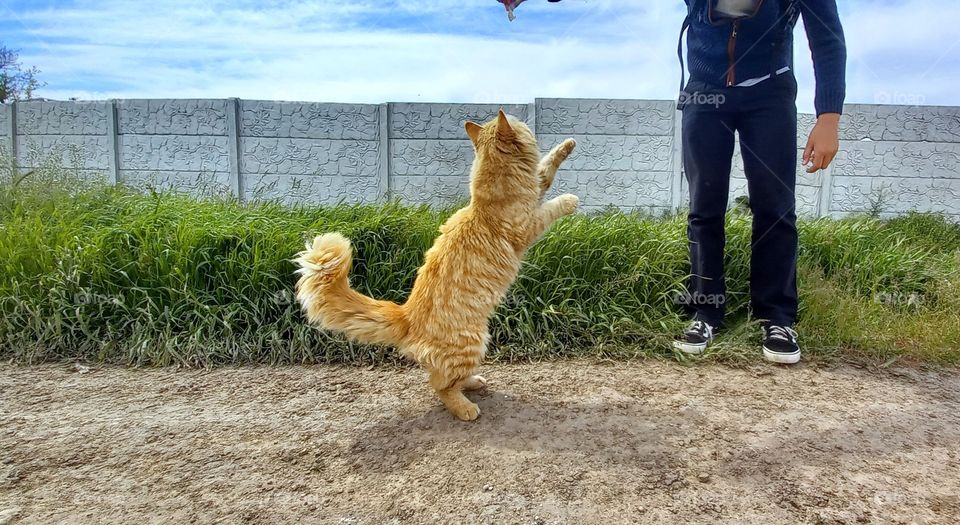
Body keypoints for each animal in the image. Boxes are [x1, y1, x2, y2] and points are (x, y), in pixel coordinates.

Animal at [292, 110, 576, 422]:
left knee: (448, 377)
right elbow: (551, 206)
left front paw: (567, 145)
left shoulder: (536, 188)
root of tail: (406, 315)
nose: (526, 123)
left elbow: (546, 167)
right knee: (441, 385)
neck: (485, 203)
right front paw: (569, 200)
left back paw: (473, 382)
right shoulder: (528, 225)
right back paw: (466, 407)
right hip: (472, 342)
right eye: (521, 123)